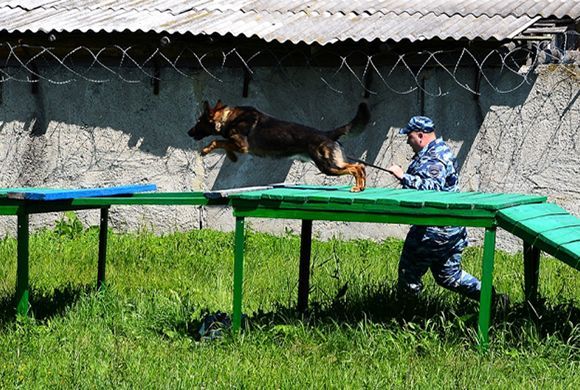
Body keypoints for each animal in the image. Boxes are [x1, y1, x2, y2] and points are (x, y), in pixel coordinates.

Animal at [190, 100, 372, 192]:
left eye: (199, 122)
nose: (188, 132)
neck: (228, 118)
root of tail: (327, 133)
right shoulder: (238, 145)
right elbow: (224, 144)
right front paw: (232, 157)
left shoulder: (241, 145)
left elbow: (217, 141)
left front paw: (205, 150)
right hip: (333, 163)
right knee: (360, 165)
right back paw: (361, 186)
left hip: (327, 166)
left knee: (355, 167)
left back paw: (357, 188)